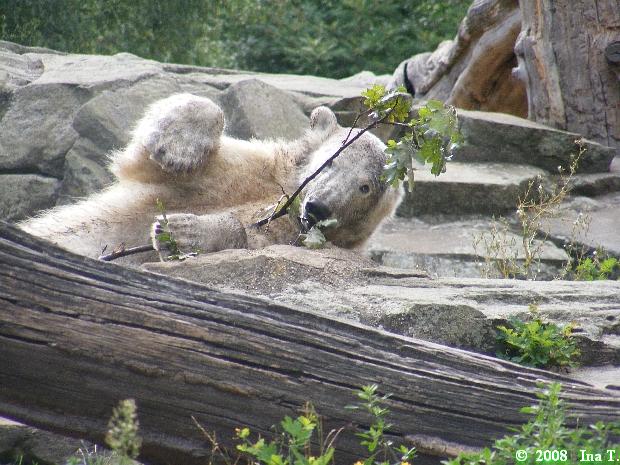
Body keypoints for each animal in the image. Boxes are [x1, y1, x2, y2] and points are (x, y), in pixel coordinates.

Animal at [18, 93, 402, 265]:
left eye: (364, 187)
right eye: (332, 161)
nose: (319, 207)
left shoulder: (295, 237)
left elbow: (250, 240)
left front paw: (180, 231)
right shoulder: (253, 167)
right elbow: (144, 159)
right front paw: (177, 147)